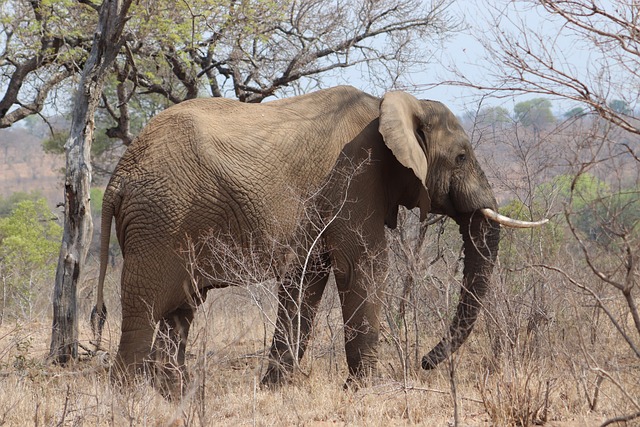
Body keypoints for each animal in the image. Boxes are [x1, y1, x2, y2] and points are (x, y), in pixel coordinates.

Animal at [91, 84, 544, 398]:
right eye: (462, 157)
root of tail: (118, 177)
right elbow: (364, 267)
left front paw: (273, 390)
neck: (392, 105)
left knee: (180, 310)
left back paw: (174, 397)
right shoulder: (356, 178)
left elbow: (305, 281)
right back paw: (128, 399)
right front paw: (364, 391)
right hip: (159, 220)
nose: (425, 362)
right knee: (146, 307)